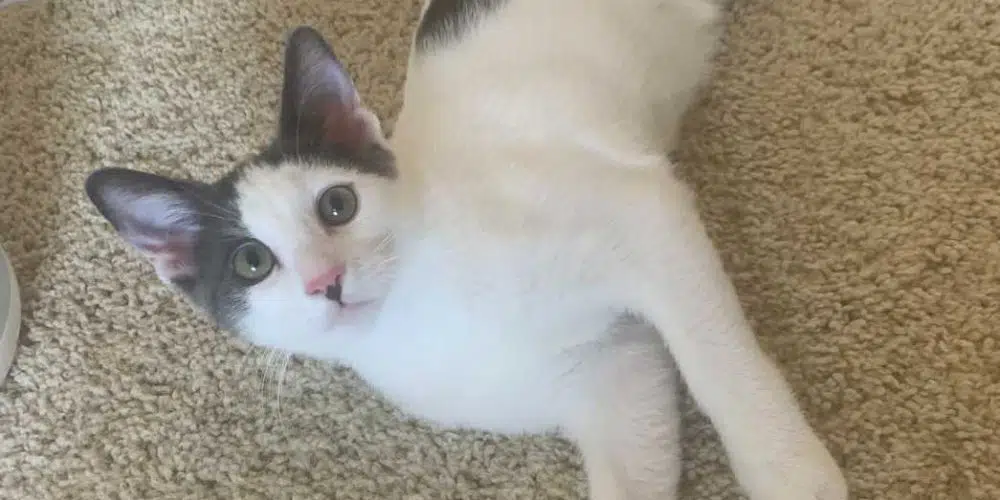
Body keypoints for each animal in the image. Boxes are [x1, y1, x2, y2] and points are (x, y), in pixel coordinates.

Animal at [83, 1, 848, 499]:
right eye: (252, 262)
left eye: (337, 205)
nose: (327, 280)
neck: (425, 316)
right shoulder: (610, 378)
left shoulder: (640, 212)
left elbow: (721, 367)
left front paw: (790, 473)